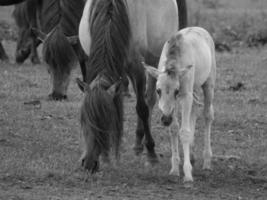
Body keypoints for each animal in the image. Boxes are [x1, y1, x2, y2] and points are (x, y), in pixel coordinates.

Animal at [76, 0, 187, 174]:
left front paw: (151, 153)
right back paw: (137, 144)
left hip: (153, 58)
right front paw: (106, 156)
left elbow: (142, 108)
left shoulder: (137, 65)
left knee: (149, 99)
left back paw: (142, 143)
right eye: (84, 120)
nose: (88, 163)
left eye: (105, 121)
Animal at [143, 27, 217, 184]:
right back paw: (192, 155)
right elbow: (174, 129)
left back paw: (207, 161)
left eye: (176, 91)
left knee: (208, 115)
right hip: (194, 88)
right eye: (158, 90)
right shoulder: (174, 104)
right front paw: (175, 169)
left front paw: (188, 174)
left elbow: (184, 131)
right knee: (195, 109)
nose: (165, 120)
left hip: (209, 83)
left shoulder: (185, 96)